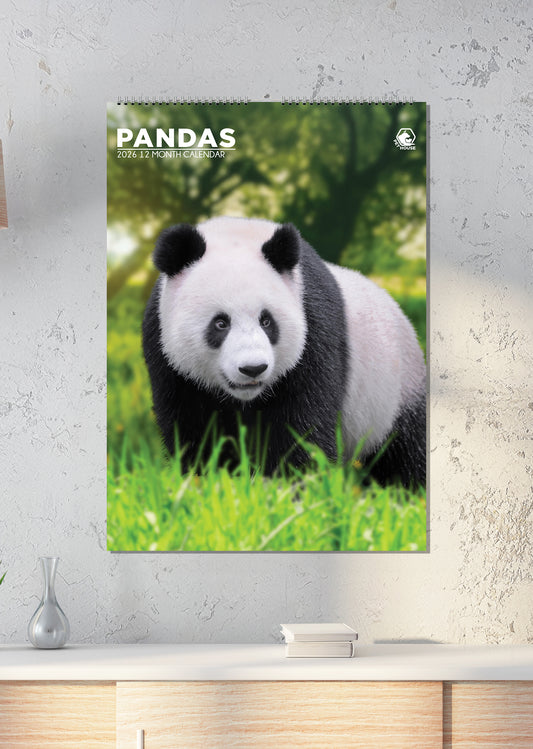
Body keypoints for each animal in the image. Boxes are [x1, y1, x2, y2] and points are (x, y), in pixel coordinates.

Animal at [142, 216, 426, 486]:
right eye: (220, 323)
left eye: (267, 321)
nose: (253, 368)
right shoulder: (167, 354)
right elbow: (194, 430)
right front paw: (207, 480)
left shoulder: (314, 331)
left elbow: (302, 426)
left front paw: (289, 487)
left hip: (394, 393)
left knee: (407, 452)